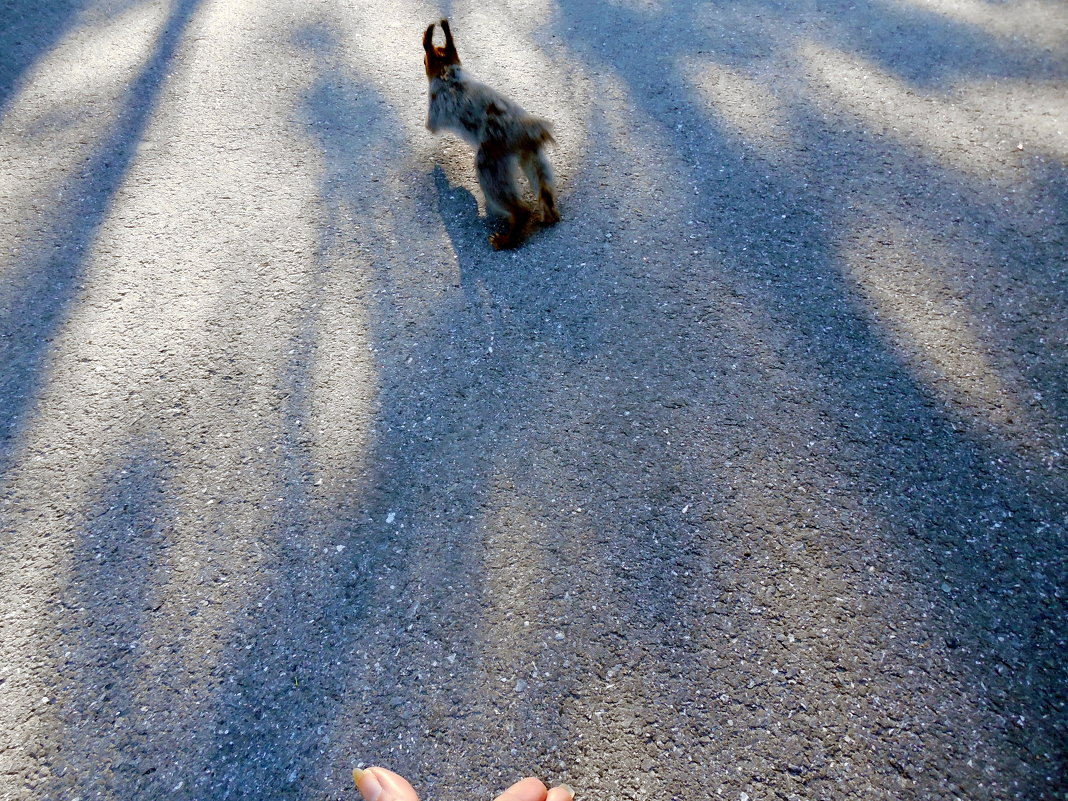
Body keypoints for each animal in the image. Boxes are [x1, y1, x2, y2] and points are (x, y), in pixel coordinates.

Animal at [422, 19, 563, 250]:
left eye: (426, 59)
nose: (422, 62)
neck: (448, 73)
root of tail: (525, 131)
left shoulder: (436, 106)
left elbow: (430, 127)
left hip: (491, 161)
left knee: (517, 207)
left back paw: (506, 238)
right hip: (532, 156)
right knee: (544, 187)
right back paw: (548, 214)